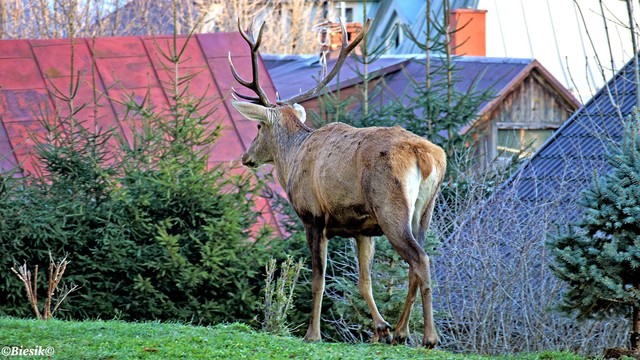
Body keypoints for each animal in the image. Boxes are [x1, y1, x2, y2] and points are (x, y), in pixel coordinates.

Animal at [229, 18, 444, 348]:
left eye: (258, 126)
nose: (246, 157)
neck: (293, 158)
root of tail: (426, 156)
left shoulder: (313, 216)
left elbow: (318, 279)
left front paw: (312, 334)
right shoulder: (363, 229)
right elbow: (364, 282)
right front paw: (379, 329)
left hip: (391, 206)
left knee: (420, 259)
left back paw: (428, 337)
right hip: (425, 210)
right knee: (414, 263)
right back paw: (400, 331)